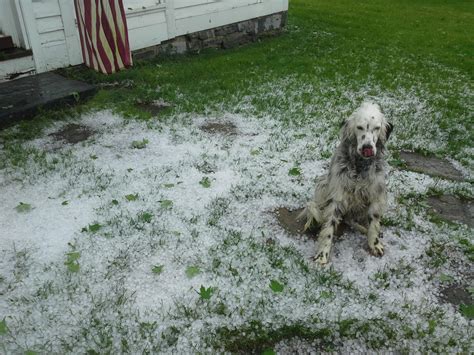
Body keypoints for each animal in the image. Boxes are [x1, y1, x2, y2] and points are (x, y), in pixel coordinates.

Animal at [302, 101, 394, 266]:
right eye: (360, 127)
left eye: (377, 128)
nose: (367, 147)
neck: (360, 166)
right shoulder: (337, 197)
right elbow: (328, 229)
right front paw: (322, 255)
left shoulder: (377, 194)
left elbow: (374, 223)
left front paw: (374, 244)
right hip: (322, 184)